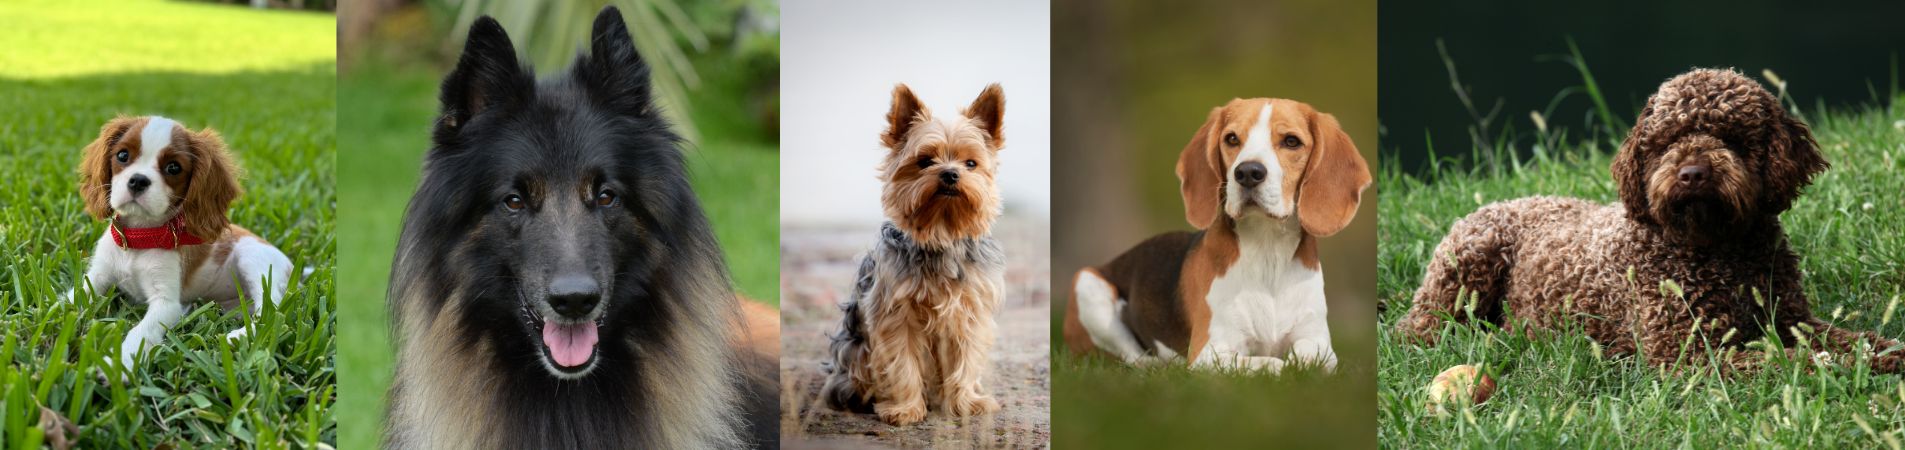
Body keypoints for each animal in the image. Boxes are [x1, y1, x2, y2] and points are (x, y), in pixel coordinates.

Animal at [70, 115, 291, 371]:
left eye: (173, 167)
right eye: (122, 155)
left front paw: (122, 363)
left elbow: (141, 331)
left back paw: (237, 336)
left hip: (255, 259)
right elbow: (74, 297)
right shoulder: (98, 275)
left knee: (270, 312)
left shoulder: (166, 303)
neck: (139, 237)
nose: (138, 181)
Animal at [826, 84, 1021, 425]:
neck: (941, 233)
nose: (950, 174)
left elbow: (966, 359)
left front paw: (966, 402)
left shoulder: (968, 313)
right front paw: (905, 409)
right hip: (855, 348)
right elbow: (902, 363)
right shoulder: (896, 316)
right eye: (925, 160)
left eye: (971, 164)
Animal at [1059, 98, 1371, 371]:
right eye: (1231, 138)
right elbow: (1269, 364)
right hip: (1088, 286)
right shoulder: (1209, 353)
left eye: (1291, 141)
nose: (1248, 172)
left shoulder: (1318, 341)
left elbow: (1308, 357)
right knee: (1130, 358)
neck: (1267, 249)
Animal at [1394, 67, 1897, 371]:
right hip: (1467, 268)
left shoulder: (1793, 318)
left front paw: (1884, 354)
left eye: (1730, 136)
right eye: (1667, 141)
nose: (1692, 174)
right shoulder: (1688, 354)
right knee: (1417, 327)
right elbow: (1788, 360)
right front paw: (1846, 369)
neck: (1718, 251)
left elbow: (1853, 339)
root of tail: (1497, 203)